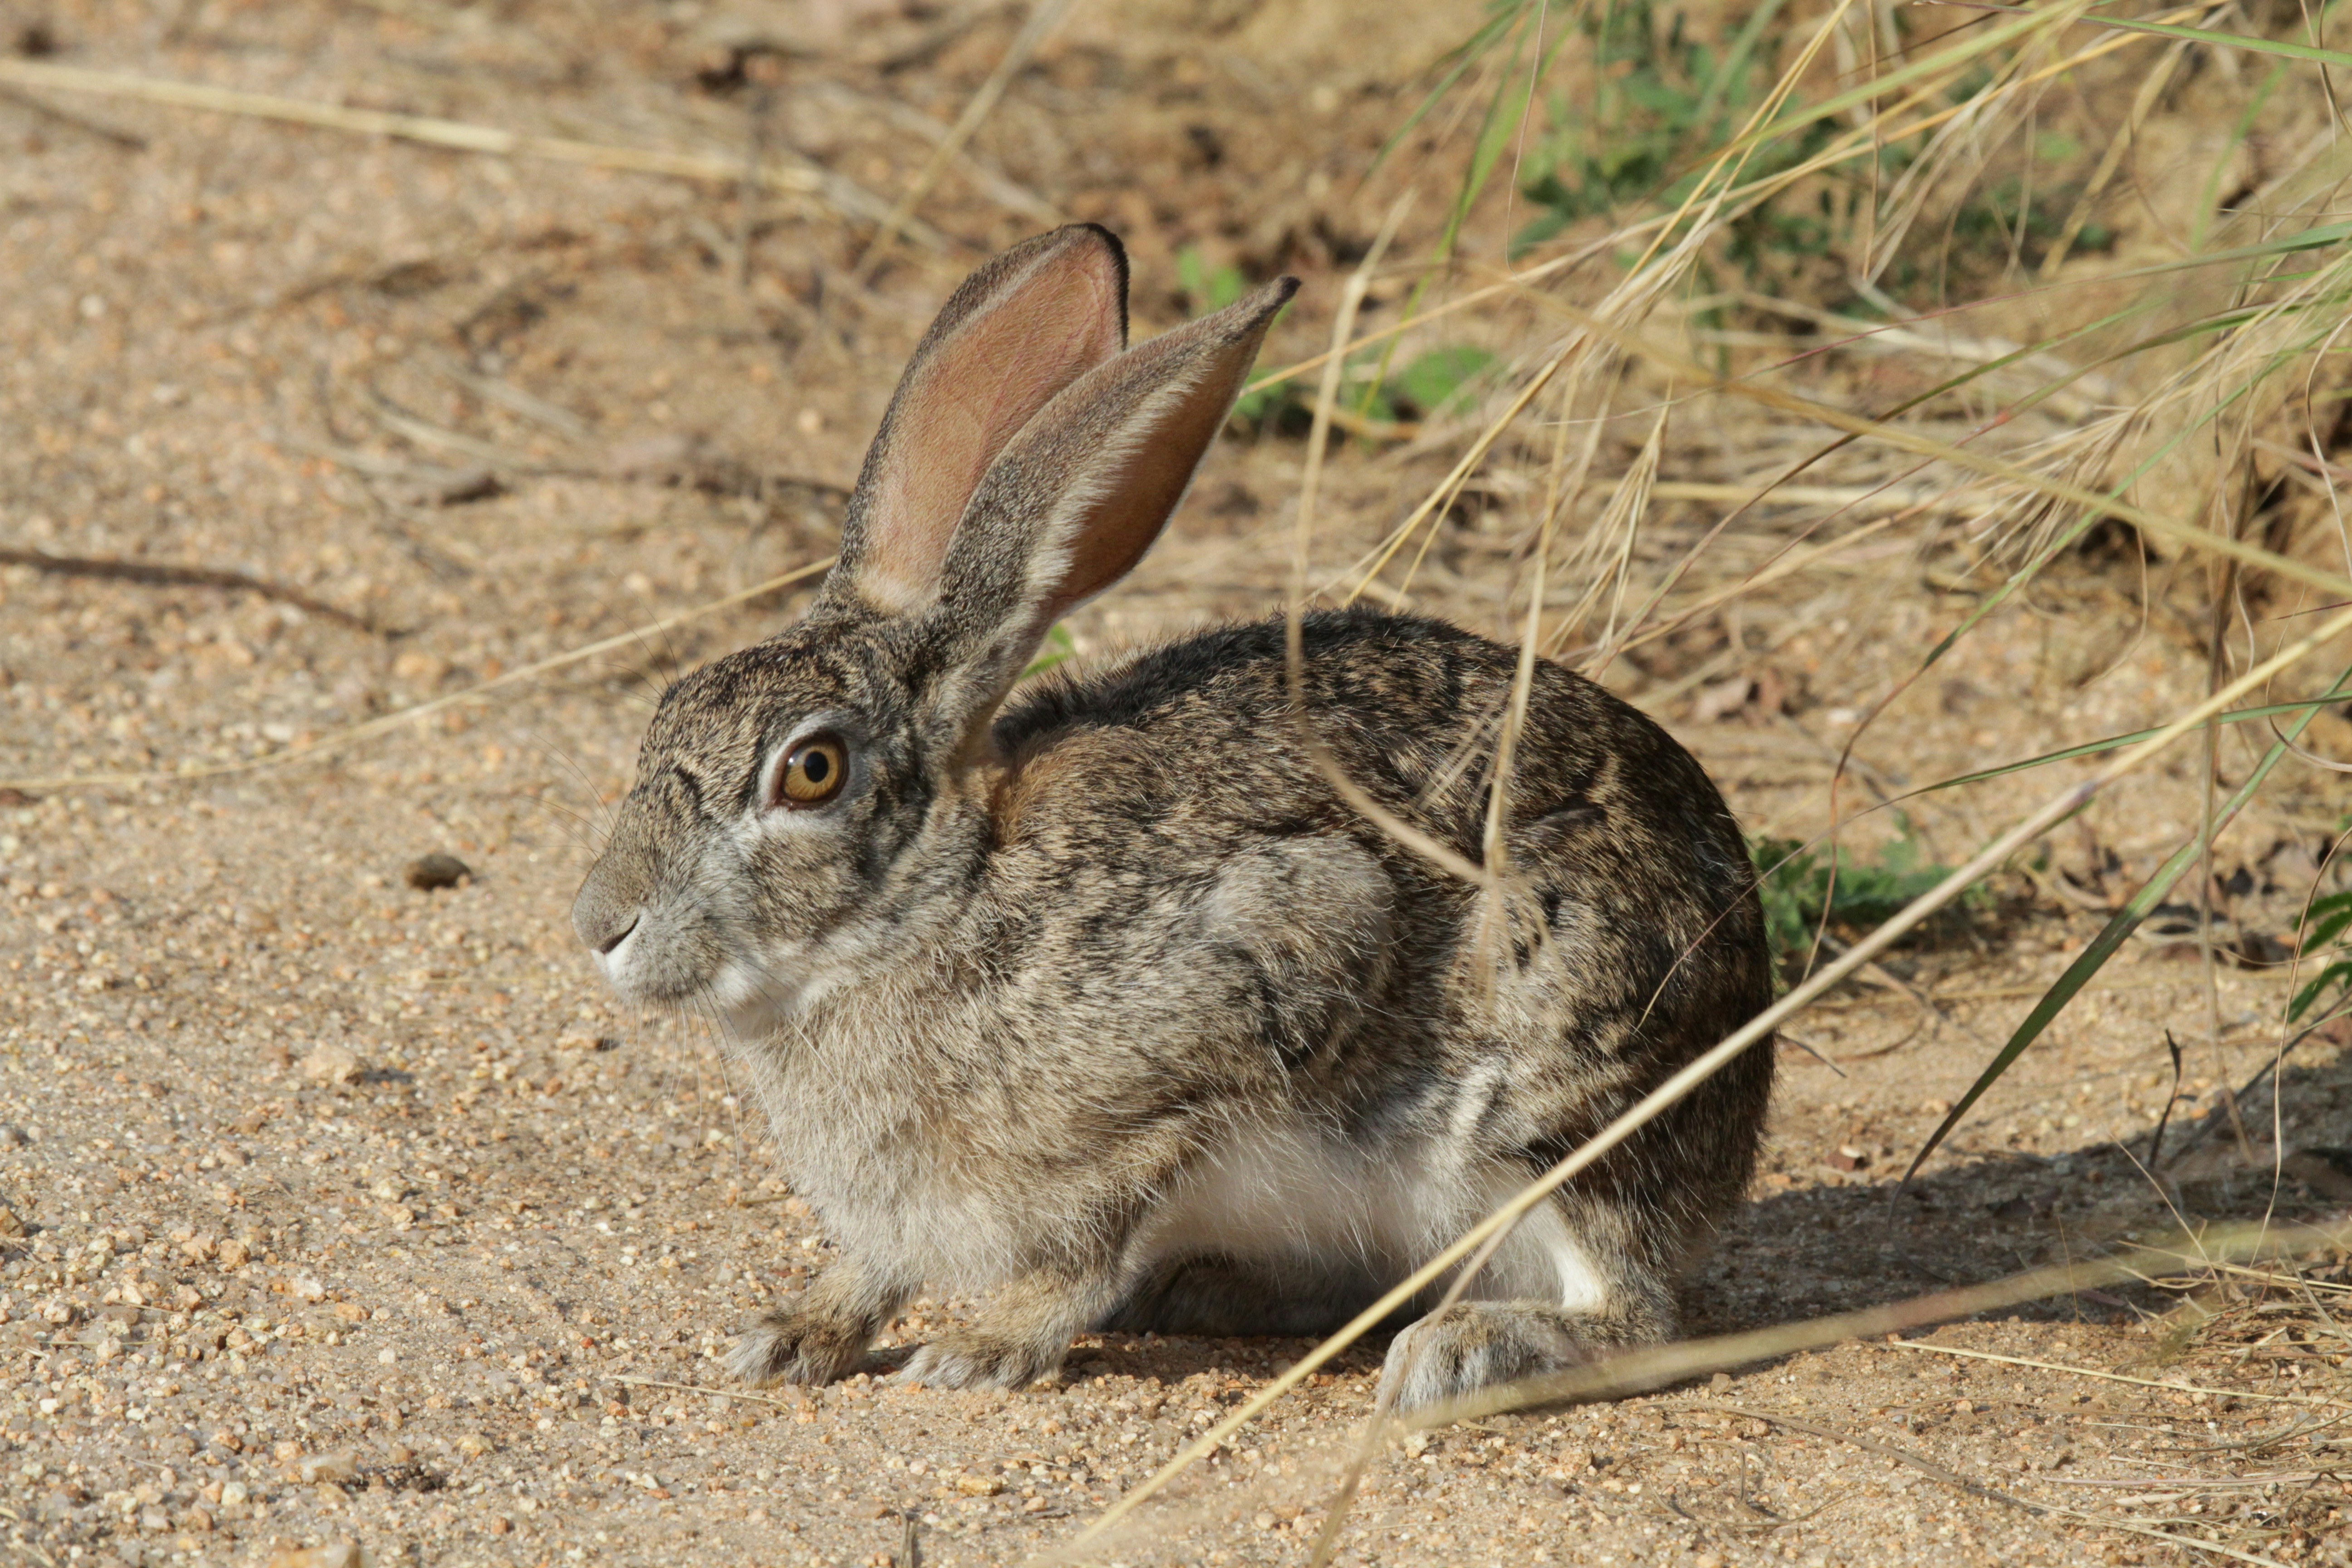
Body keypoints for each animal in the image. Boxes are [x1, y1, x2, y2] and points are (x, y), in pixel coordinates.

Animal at [570, 223, 1775, 1411]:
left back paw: (1457, 1351)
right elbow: (875, 1267)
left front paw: (982, 1347)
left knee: (1634, 1313)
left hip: (1554, 1100)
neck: (939, 897)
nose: (600, 924)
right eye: (669, 706)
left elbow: (1097, 1236)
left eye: (812, 771)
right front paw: (792, 1333)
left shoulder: (1231, 1020)